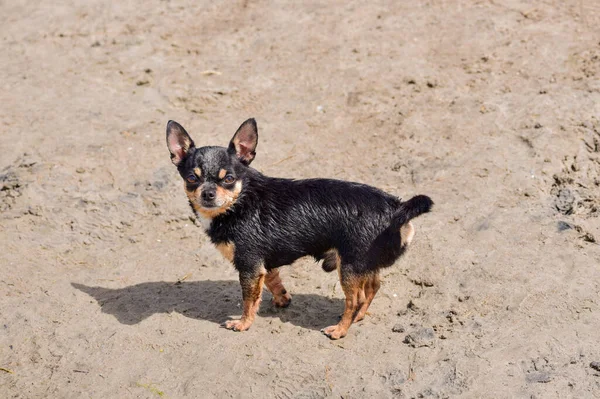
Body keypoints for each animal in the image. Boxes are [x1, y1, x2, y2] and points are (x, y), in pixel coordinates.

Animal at [166, 117, 434, 340]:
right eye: (192, 178)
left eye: (229, 179)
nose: (208, 193)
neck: (238, 203)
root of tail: (396, 208)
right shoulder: (263, 264)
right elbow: (272, 281)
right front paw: (282, 299)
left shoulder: (249, 266)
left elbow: (248, 300)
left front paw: (243, 323)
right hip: (364, 262)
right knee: (372, 287)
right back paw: (358, 317)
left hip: (349, 267)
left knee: (354, 299)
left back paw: (340, 330)